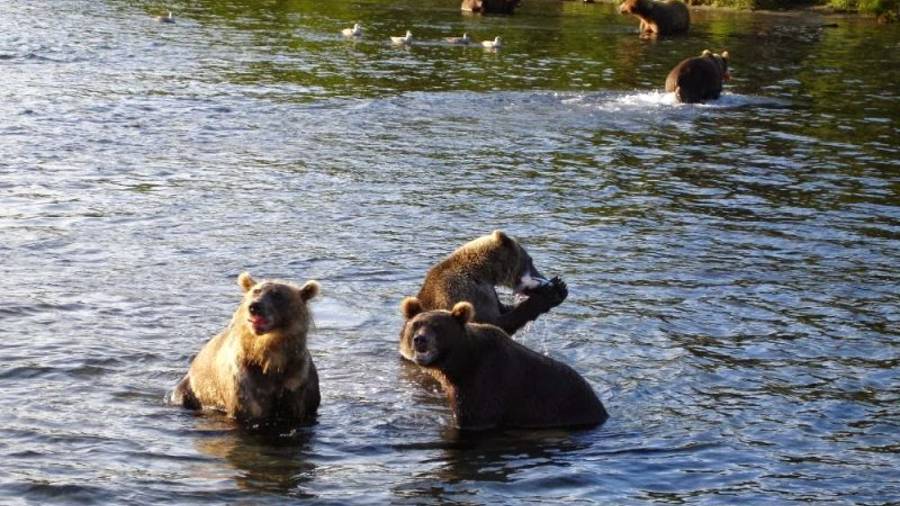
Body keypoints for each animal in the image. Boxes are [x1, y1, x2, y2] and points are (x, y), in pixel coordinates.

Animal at [171, 272, 322, 426]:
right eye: (255, 291)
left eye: (277, 294)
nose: (254, 306)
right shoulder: (246, 381)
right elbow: (248, 410)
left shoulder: (295, 378)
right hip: (189, 389)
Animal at [402, 231, 568, 362]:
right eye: (531, 261)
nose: (544, 278)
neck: (484, 272)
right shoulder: (467, 291)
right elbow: (495, 322)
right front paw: (552, 292)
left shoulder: (489, 292)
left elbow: (503, 310)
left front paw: (560, 288)